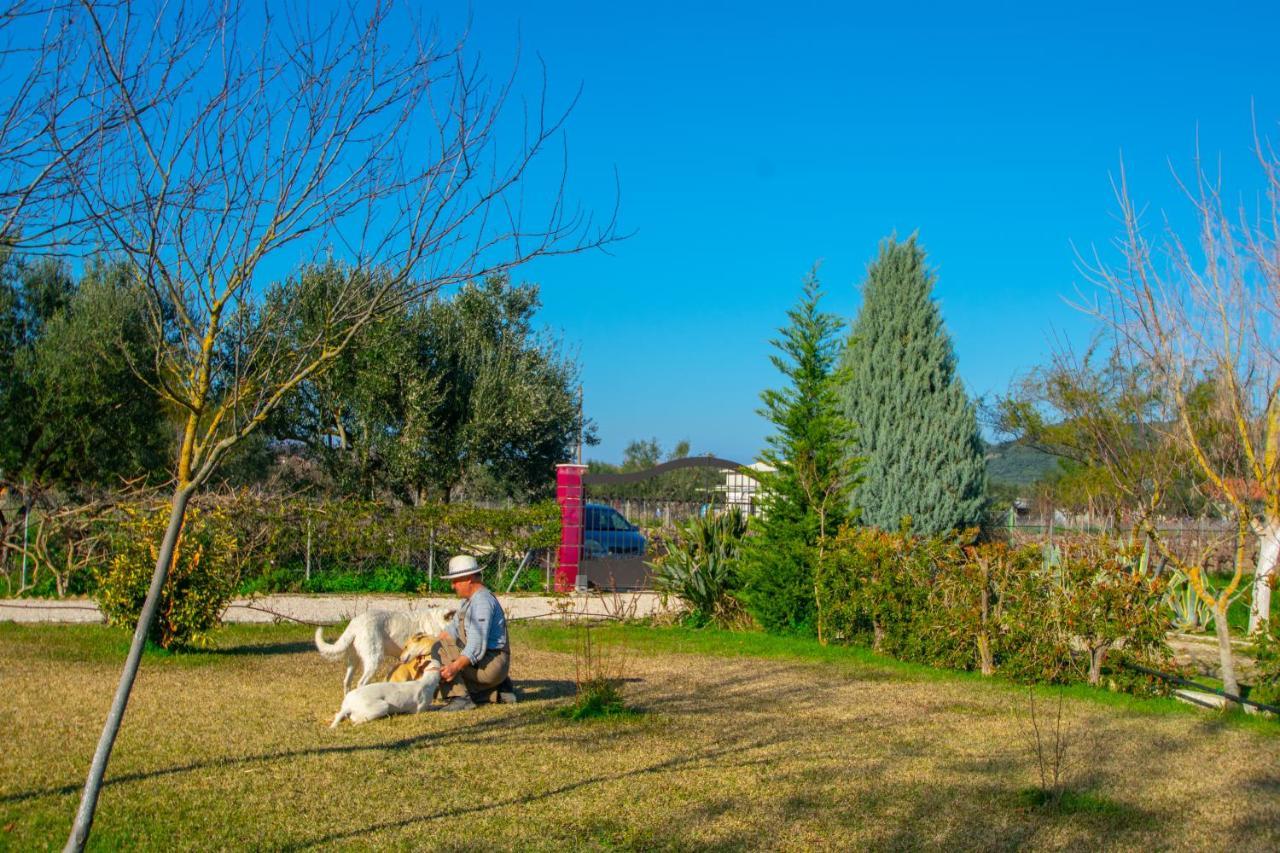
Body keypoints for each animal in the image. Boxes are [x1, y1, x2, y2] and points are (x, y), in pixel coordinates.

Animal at [314, 604, 450, 691]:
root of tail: (355, 623)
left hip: (354, 661)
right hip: (374, 660)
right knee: (361, 683)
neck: (439, 622)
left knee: (347, 682)